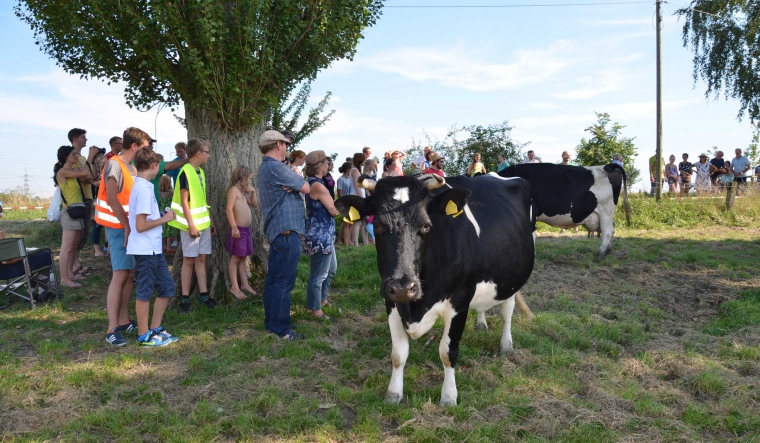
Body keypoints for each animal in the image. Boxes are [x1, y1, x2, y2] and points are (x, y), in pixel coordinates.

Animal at [336, 173, 536, 406]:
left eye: (425, 226)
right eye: (377, 226)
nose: (403, 287)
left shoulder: (459, 301)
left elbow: (448, 352)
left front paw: (449, 397)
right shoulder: (390, 299)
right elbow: (398, 354)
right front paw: (393, 393)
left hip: (512, 278)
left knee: (507, 310)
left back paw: (506, 344)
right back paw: (481, 323)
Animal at [498, 164, 628, 258]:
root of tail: (607, 166)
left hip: (606, 210)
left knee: (607, 231)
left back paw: (600, 254)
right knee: (613, 228)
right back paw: (608, 251)